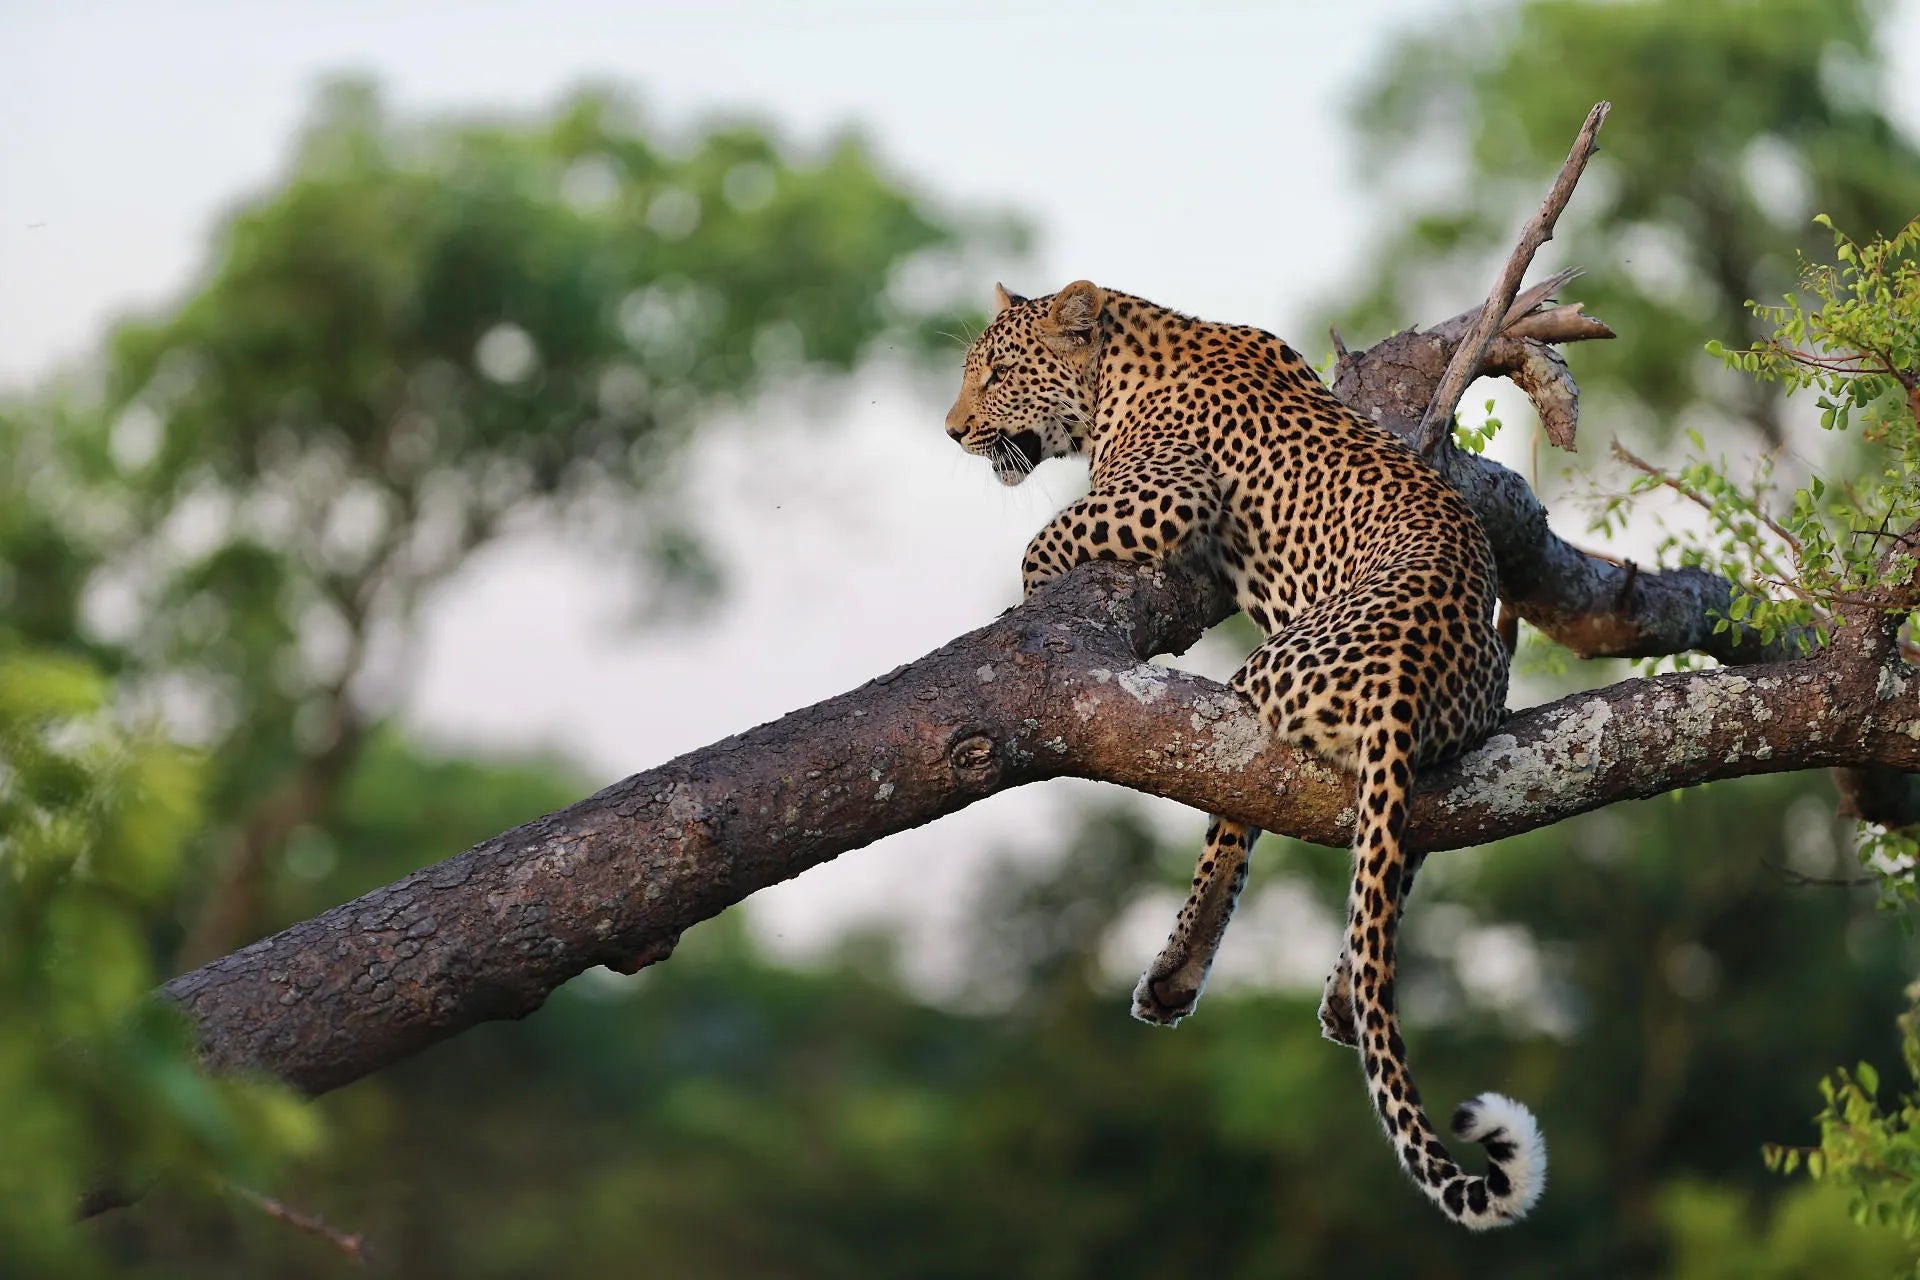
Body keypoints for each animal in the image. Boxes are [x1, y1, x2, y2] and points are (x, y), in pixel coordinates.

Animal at [944, 280, 1546, 1229]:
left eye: (996, 373)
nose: (952, 429)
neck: (1126, 351)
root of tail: (1409, 678)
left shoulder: (1167, 487)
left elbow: (1040, 544)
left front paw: (1031, 591)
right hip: (1452, 745)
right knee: (1395, 858)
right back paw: (1342, 993)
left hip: (1257, 683)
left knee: (1236, 818)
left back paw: (1176, 973)